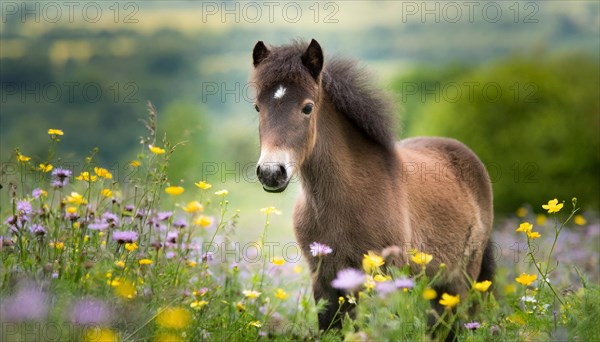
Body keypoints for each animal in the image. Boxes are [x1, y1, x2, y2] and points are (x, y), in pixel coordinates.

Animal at [251, 38, 494, 332]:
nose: (271, 172)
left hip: (462, 278)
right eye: (257, 107)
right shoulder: (324, 279)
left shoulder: (386, 274)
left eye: (307, 107)